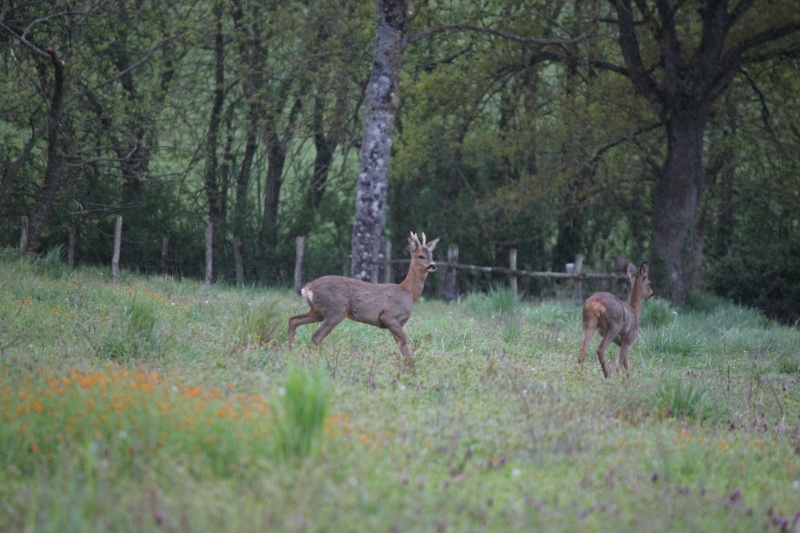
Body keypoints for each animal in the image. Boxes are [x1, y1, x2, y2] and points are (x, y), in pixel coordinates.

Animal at [288, 231, 438, 360]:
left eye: (431, 254)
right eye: (421, 256)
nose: (433, 265)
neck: (408, 292)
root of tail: (307, 288)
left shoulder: (400, 322)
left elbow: (402, 346)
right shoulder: (389, 316)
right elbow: (404, 341)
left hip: (318, 311)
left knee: (293, 320)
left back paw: (290, 351)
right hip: (335, 310)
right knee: (316, 336)